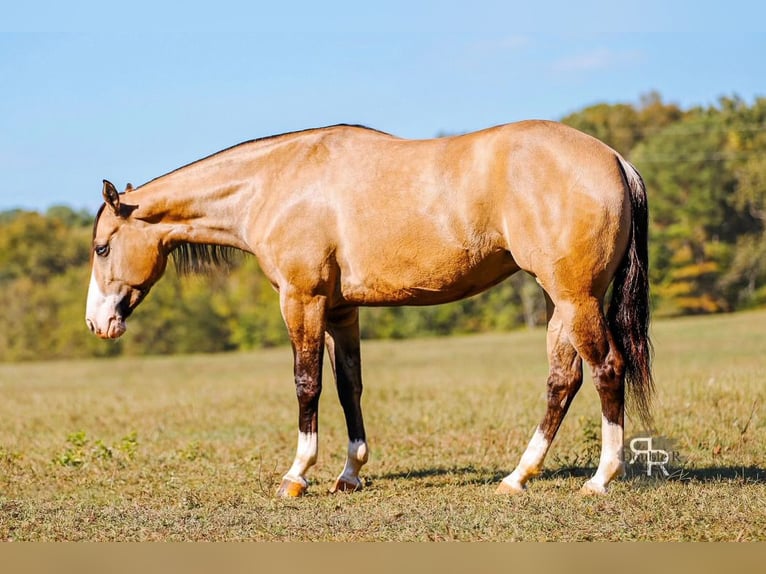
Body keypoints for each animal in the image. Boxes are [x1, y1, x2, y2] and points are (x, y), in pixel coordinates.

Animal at [86, 120, 653, 497]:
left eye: (102, 247)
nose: (98, 323)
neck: (276, 183)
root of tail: (615, 160)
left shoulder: (303, 301)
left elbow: (307, 384)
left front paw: (297, 475)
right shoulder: (341, 311)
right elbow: (347, 386)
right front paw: (350, 472)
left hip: (575, 299)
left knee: (606, 369)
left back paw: (601, 478)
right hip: (562, 304)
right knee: (563, 381)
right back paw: (517, 477)